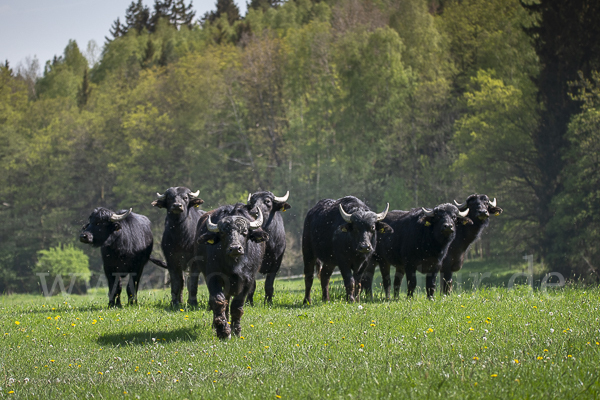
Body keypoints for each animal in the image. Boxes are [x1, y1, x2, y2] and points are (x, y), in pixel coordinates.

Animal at [196, 203, 266, 338]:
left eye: (244, 232)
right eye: (223, 233)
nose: (234, 248)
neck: (235, 265)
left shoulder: (248, 281)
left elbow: (237, 305)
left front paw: (236, 330)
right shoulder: (212, 277)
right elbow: (218, 301)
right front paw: (223, 331)